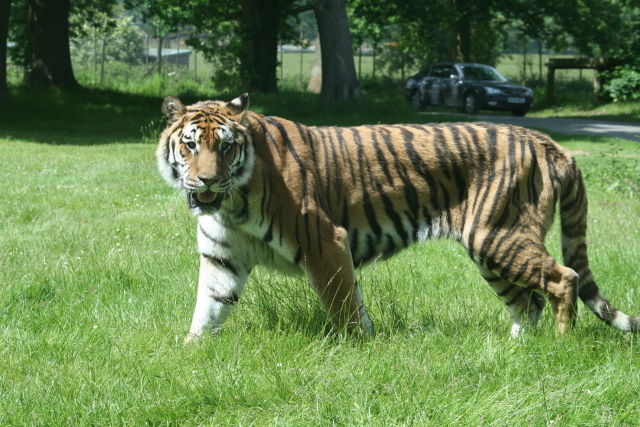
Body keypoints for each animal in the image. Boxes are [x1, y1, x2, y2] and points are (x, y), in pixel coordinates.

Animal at [156, 93, 639, 343]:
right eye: (191, 145)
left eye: (226, 147)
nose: (206, 181)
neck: (232, 204)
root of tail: (545, 141)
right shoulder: (222, 259)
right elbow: (207, 311)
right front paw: (191, 356)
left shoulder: (324, 243)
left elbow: (344, 306)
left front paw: (357, 350)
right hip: (490, 246)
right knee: (528, 301)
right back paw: (514, 351)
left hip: (498, 236)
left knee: (563, 279)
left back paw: (559, 345)